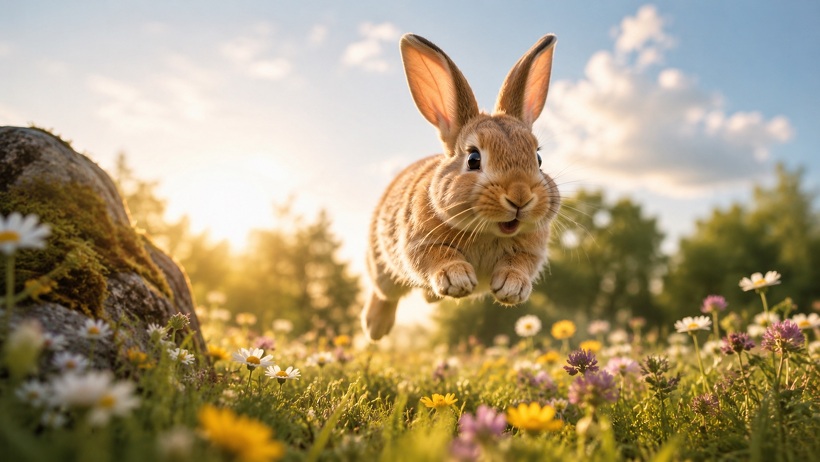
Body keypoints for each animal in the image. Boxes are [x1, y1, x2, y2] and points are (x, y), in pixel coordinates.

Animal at [362, 33, 561, 341]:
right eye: (473, 159)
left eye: (538, 159)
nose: (520, 196)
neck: (488, 232)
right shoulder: (417, 245)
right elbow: (437, 257)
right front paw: (457, 278)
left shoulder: (531, 253)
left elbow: (520, 265)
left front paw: (511, 288)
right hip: (382, 268)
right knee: (383, 292)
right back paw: (375, 328)